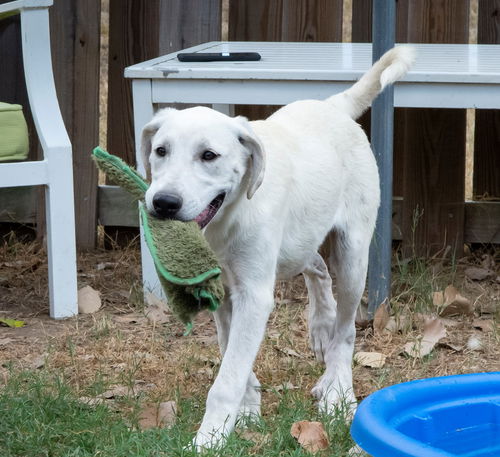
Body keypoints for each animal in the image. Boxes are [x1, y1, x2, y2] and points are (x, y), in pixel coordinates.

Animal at [141, 47, 414, 448]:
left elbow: (227, 379)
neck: (230, 217)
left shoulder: (254, 295)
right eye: (160, 151)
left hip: (353, 255)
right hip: (299, 242)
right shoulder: (225, 293)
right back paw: (321, 325)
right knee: (316, 266)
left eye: (209, 156)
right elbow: (232, 357)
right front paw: (245, 414)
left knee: (346, 331)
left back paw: (338, 391)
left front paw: (209, 439)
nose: (163, 203)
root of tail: (333, 105)